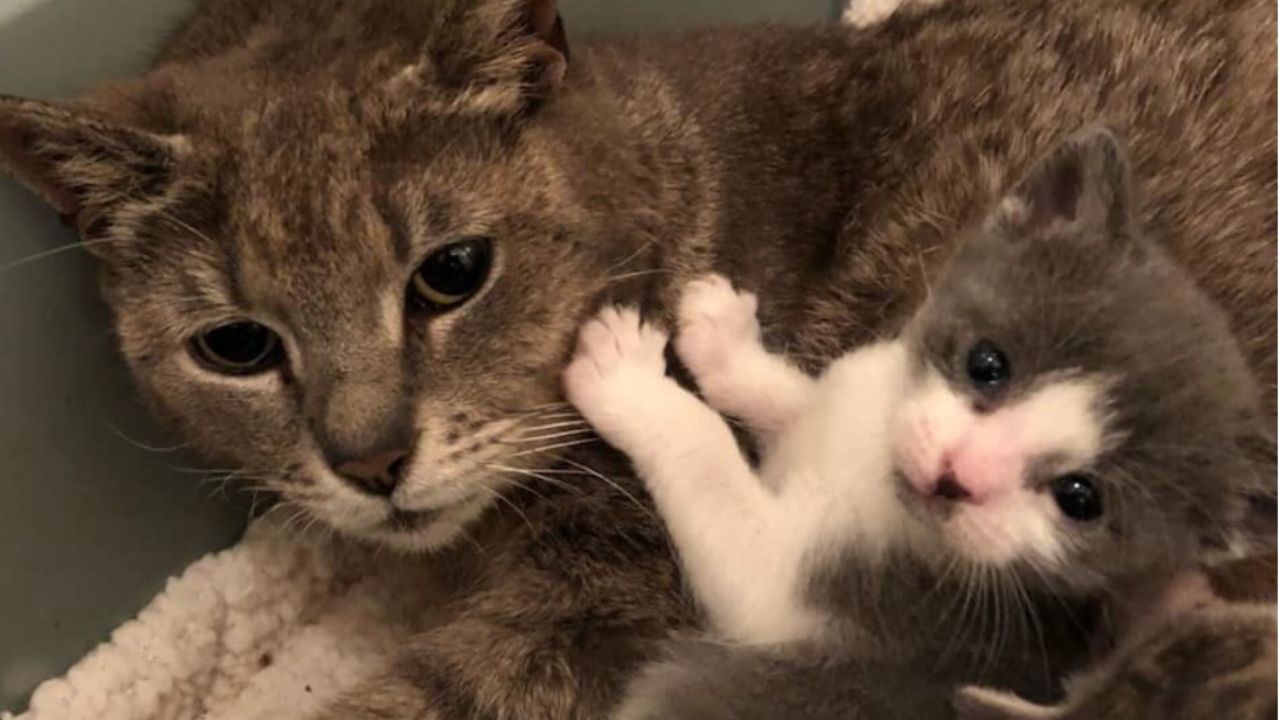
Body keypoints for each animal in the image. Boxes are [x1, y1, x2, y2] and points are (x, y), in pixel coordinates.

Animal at [570, 128, 1280, 717]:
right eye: (987, 363)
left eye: (1080, 499)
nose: (955, 475)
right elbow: (799, 401)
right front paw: (726, 342)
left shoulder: (818, 589)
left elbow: (709, 458)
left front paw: (627, 378)